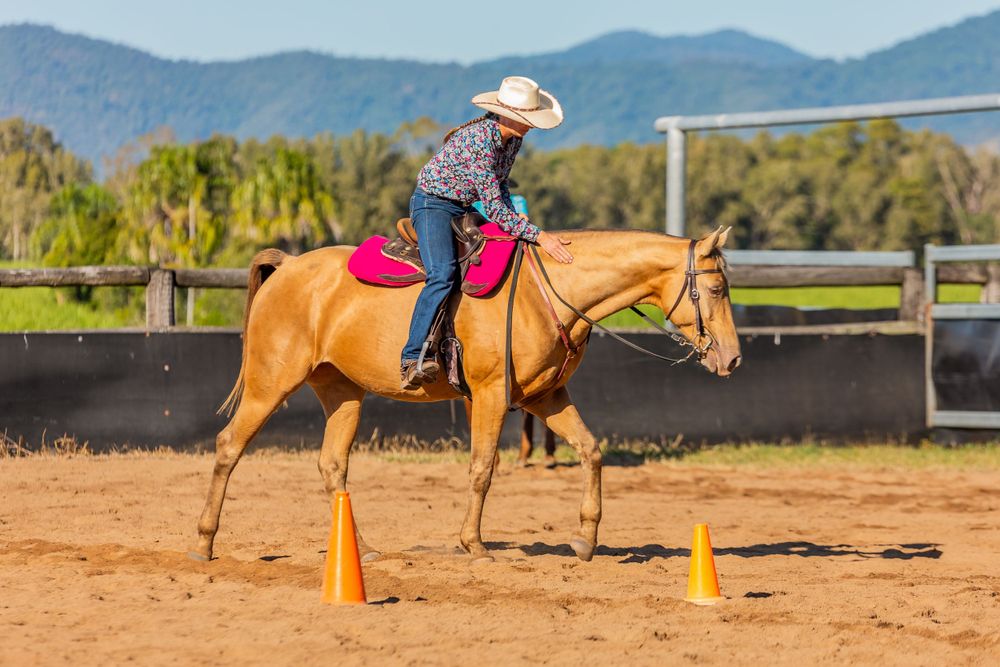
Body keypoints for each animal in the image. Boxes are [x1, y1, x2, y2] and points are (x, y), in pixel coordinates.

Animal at [189, 227, 741, 564]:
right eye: (716, 290)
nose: (732, 358)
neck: (547, 292)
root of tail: (287, 266)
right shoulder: (492, 395)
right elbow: (482, 468)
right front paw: (473, 545)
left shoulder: (546, 397)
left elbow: (590, 450)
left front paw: (585, 540)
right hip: (269, 384)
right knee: (228, 446)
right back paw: (204, 543)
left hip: (341, 393)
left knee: (332, 466)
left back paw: (362, 550)